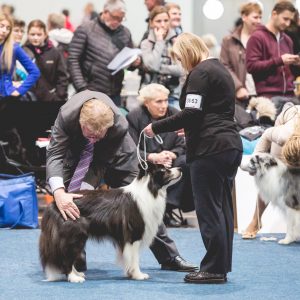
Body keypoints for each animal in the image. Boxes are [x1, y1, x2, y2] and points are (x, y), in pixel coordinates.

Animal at [39, 163, 182, 282]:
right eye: (164, 170)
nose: (180, 168)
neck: (150, 190)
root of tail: (55, 204)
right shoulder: (133, 235)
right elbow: (134, 258)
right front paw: (138, 275)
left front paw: (130, 274)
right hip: (73, 235)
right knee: (66, 257)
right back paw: (74, 278)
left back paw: (78, 273)